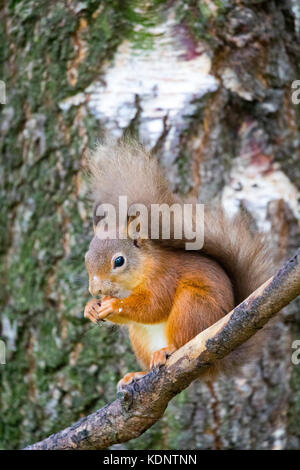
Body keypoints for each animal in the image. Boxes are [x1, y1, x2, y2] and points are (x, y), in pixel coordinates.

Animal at [82, 139, 272, 390]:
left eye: (119, 261)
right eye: (86, 258)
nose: (95, 290)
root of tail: (219, 359)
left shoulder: (164, 277)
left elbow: (153, 307)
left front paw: (112, 305)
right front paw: (91, 307)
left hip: (193, 307)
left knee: (183, 343)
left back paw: (167, 350)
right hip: (139, 336)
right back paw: (137, 374)